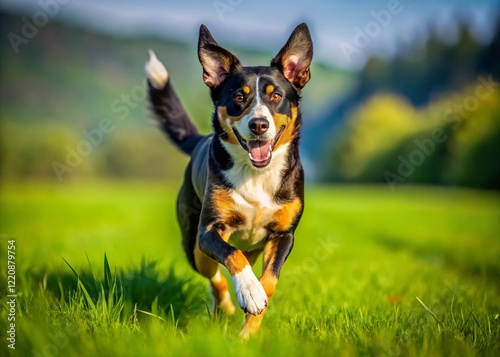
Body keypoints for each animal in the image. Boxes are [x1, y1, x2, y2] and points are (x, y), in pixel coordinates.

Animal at [145, 23, 314, 336]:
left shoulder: (283, 235)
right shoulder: (209, 231)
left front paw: (248, 333)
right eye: (238, 97)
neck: (256, 173)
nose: (258, 125)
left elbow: (269, 283)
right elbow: (232, 255)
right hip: (194, 246)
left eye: (275, 96)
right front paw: (248, 292)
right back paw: (224, 305)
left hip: (251, 248)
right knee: (216, 278)